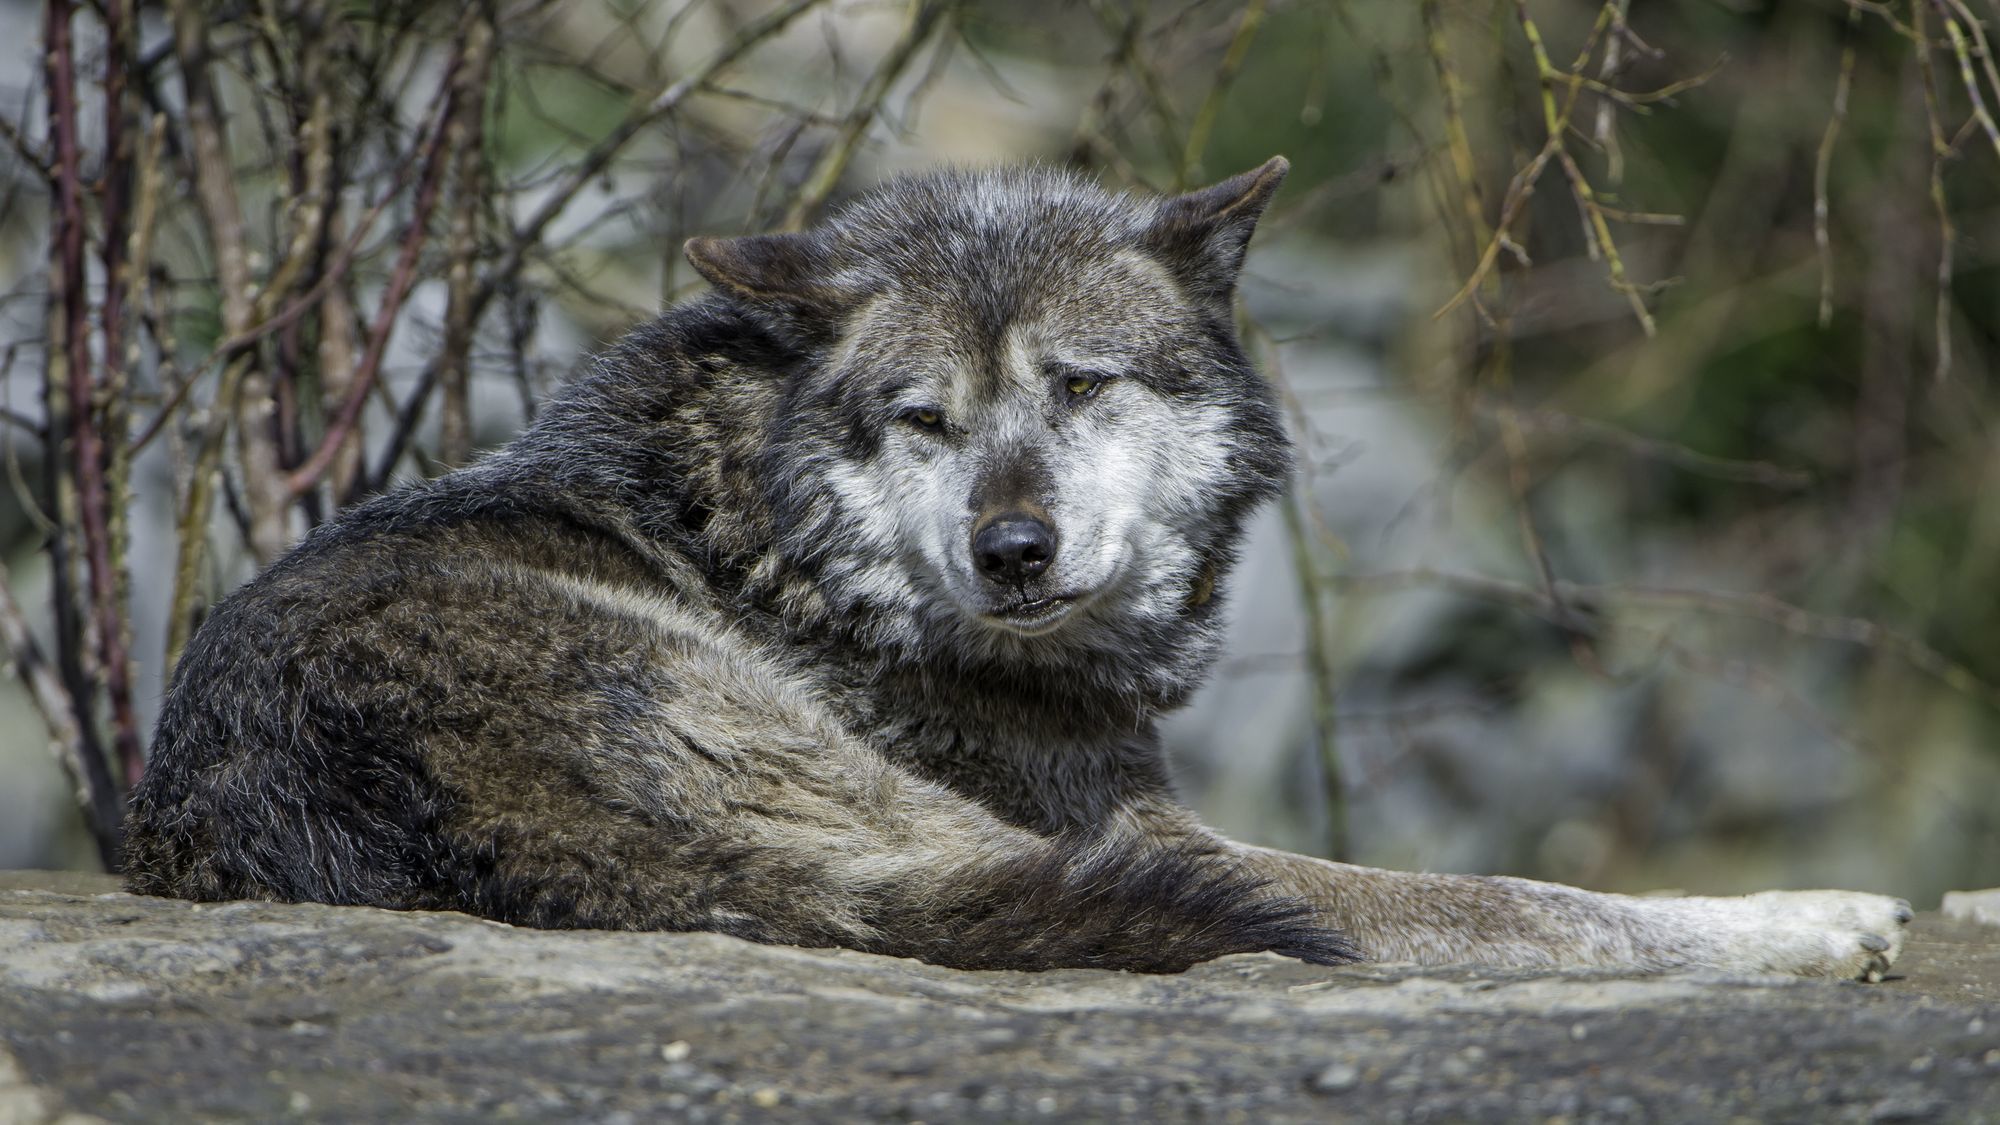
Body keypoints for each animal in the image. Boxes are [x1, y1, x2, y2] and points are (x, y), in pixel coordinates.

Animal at [121, 158, 1904, 972]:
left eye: (1084, 388)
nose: (1014, 544)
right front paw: (1806, 921)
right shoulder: (1146, 831)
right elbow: (1539, 898)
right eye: (926, 418)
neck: (788, 542)